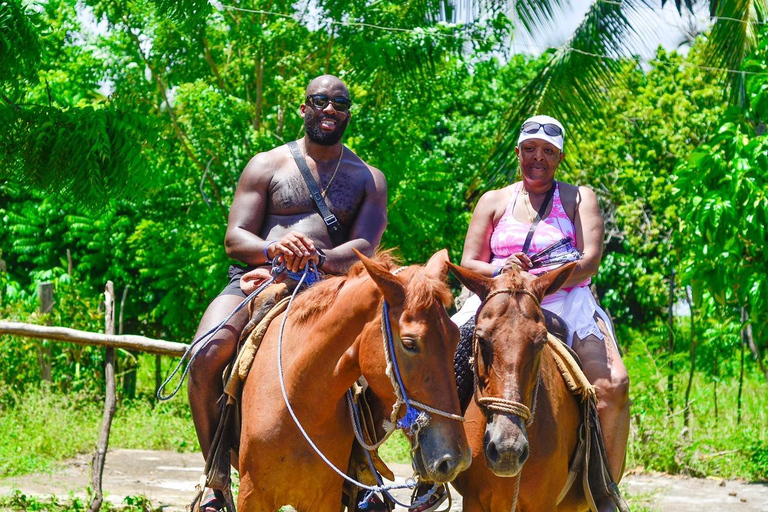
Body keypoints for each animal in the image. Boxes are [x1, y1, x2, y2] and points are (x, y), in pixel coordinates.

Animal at [237, 250, 472, 510]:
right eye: (410, 343)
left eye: (455, 337)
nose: (457, 459)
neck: (295, 401)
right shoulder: (251, 495)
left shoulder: (326, 499)